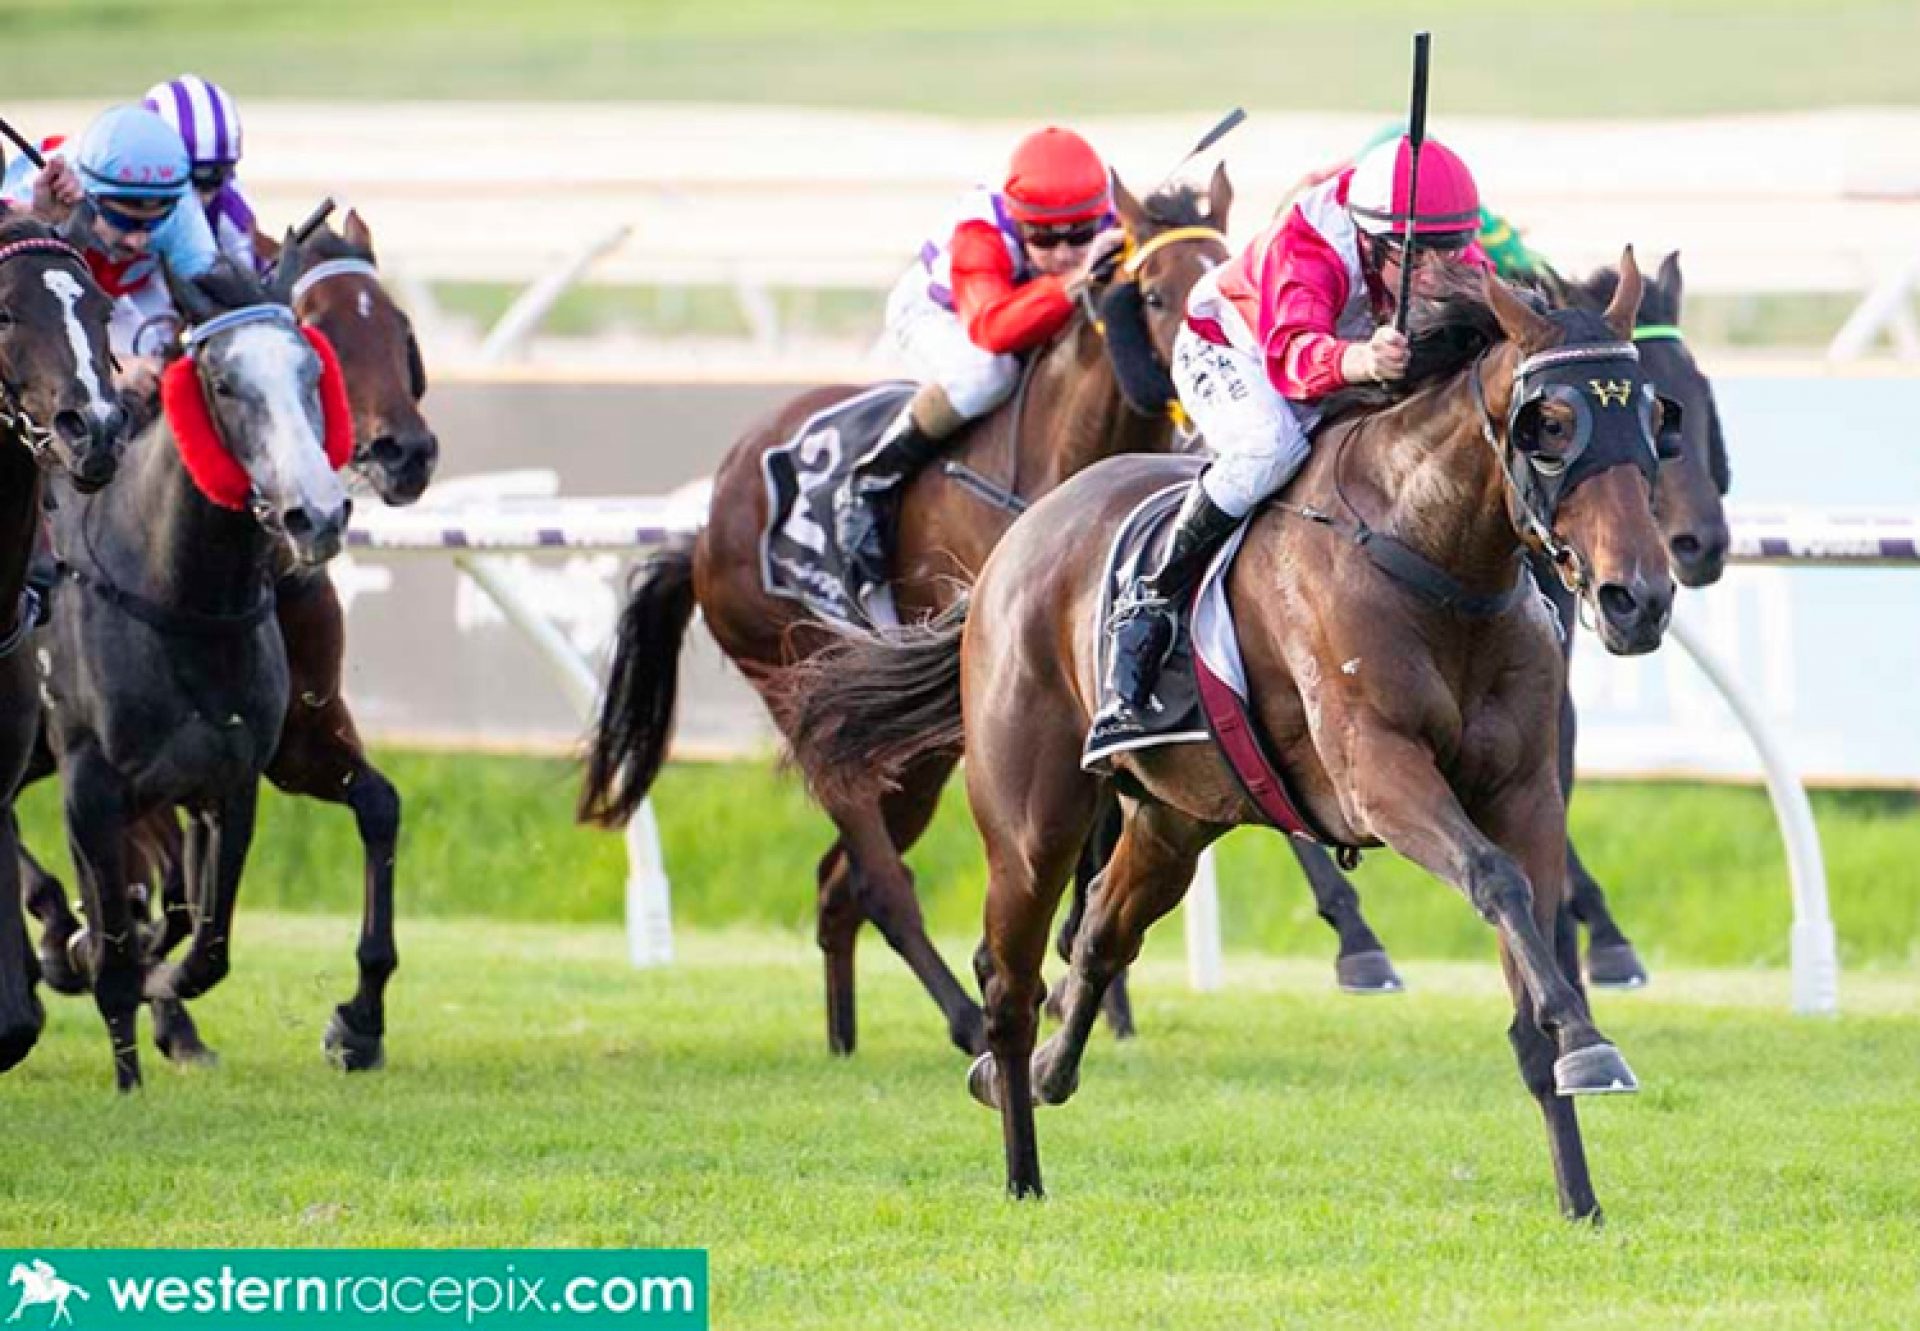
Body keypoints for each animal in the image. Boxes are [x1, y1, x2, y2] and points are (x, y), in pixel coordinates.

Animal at [21, 215, 435, 1067]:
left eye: (400, 330)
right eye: (224, 384)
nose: (407, 454)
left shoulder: (278, 747)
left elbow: (376, 807)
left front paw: (359, 1019)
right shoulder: (110, 772)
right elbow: (146, 902)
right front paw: (96, 952)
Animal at [576, 170, 1236, 1052]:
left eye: (1225, 269)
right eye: (1156, 293)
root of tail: (710, 524)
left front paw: (1085, 963)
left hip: (914, 750)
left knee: (836, 883)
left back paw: (845, 1038)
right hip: (808, 690)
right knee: (877, 878)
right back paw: (964, 1018)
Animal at [787, 253, 1674, 1221]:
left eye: (1652, 416)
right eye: (1550, 423)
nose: (1640, 596)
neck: (1434, 559)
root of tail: (1017, 539)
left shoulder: (1523, 792)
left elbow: (1531, 951)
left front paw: (1579, 1179)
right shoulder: (1380, 772)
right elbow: (1495, 879)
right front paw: (1590, 1040)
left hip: (1175, 820)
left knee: (1100, 933)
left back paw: (1038, 1071)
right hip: (1031, 821)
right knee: (1007, 981)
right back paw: (1020, 1161)